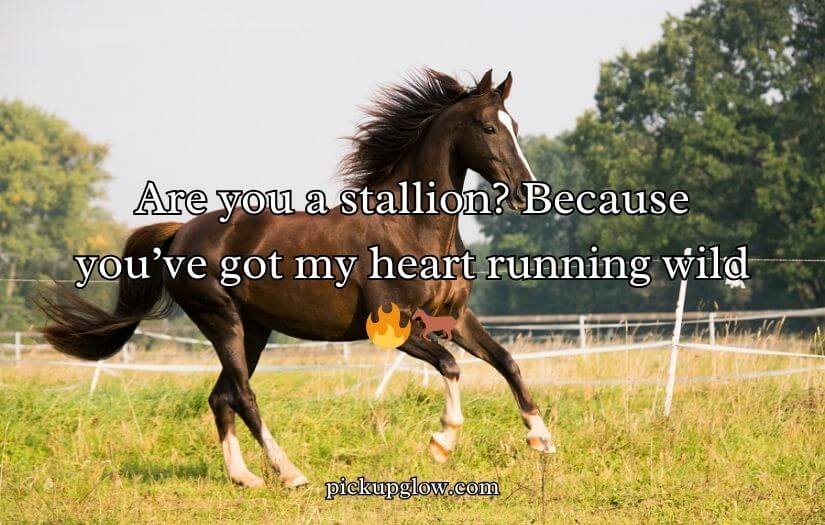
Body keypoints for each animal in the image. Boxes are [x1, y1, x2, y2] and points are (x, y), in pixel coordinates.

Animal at [36, 68, 557, 489]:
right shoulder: (396, 328)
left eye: (515, 126)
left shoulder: (455, 316)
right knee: (243, 395)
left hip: (254, 329)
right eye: (488, 127)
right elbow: (451, 366)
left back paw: (244, 477)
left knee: (220, 396)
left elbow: (506, 361)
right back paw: (289, 473)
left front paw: (542, 439)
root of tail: (181, 233)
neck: (412, 227)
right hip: (222, 320)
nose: (527, 192)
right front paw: (442, 442)